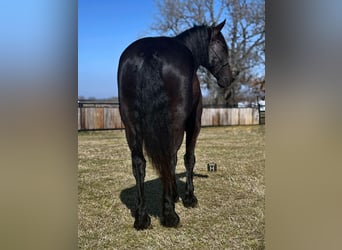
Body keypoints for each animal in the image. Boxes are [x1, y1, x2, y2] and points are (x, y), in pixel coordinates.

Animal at [119, 20, 234, 229]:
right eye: (222, 46)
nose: (229, 78)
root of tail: (149, 53)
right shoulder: (194, 123)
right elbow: (188, 158)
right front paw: (188, 197)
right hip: (175, 124)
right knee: (169, 159)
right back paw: (170, 215)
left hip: (130, 125)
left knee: (139, 163)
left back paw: (142, 217)